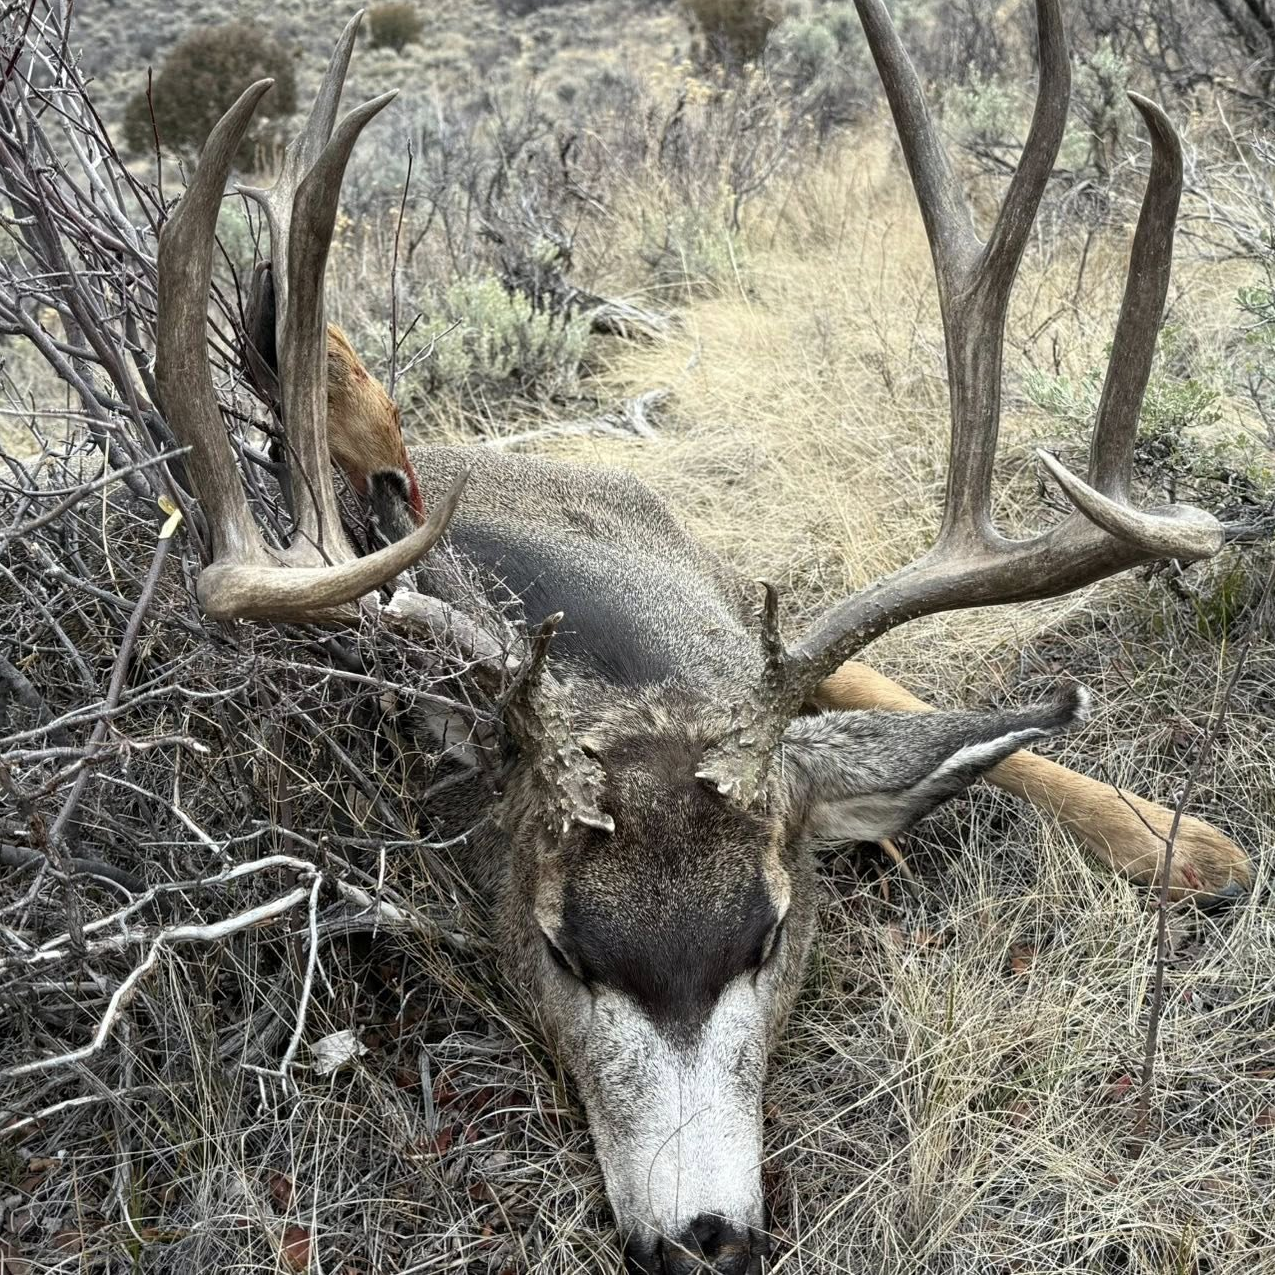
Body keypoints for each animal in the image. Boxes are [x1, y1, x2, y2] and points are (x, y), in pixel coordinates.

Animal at [153, 4, 1250, 1272]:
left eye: (769, 936)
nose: (701, 1235)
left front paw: (1182, 846)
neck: (631, 670)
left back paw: (1194, 844)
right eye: (562, 949)